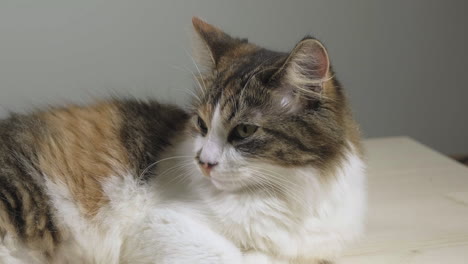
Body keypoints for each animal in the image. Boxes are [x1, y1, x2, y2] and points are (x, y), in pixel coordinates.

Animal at [0, 17, 366, 262]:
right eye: (202, 124)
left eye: (244, 131)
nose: (203, 162)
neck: (285, 193)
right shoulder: (161, 224)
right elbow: (234, 257)